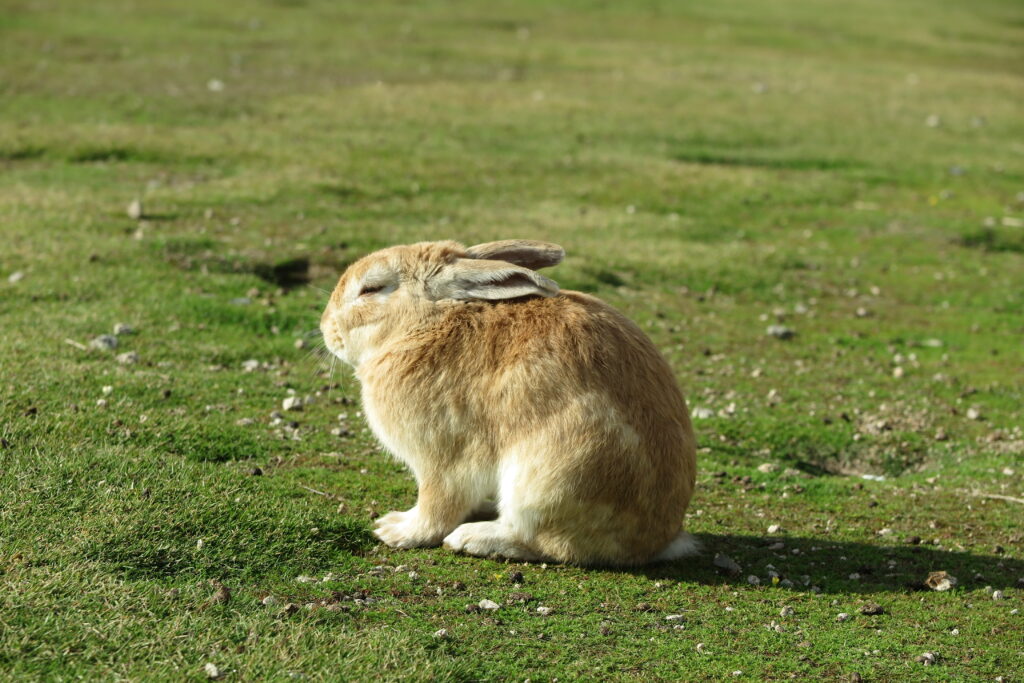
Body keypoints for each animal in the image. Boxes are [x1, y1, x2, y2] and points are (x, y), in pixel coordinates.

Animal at [321, 240, 696, 565]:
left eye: (371, 289)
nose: (325, 328)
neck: (424, 324)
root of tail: (658, 541)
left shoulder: (443, 460)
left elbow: (435, 505)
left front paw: (396, 531)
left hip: (550, 477)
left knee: (550, 543)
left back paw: (474, 538)